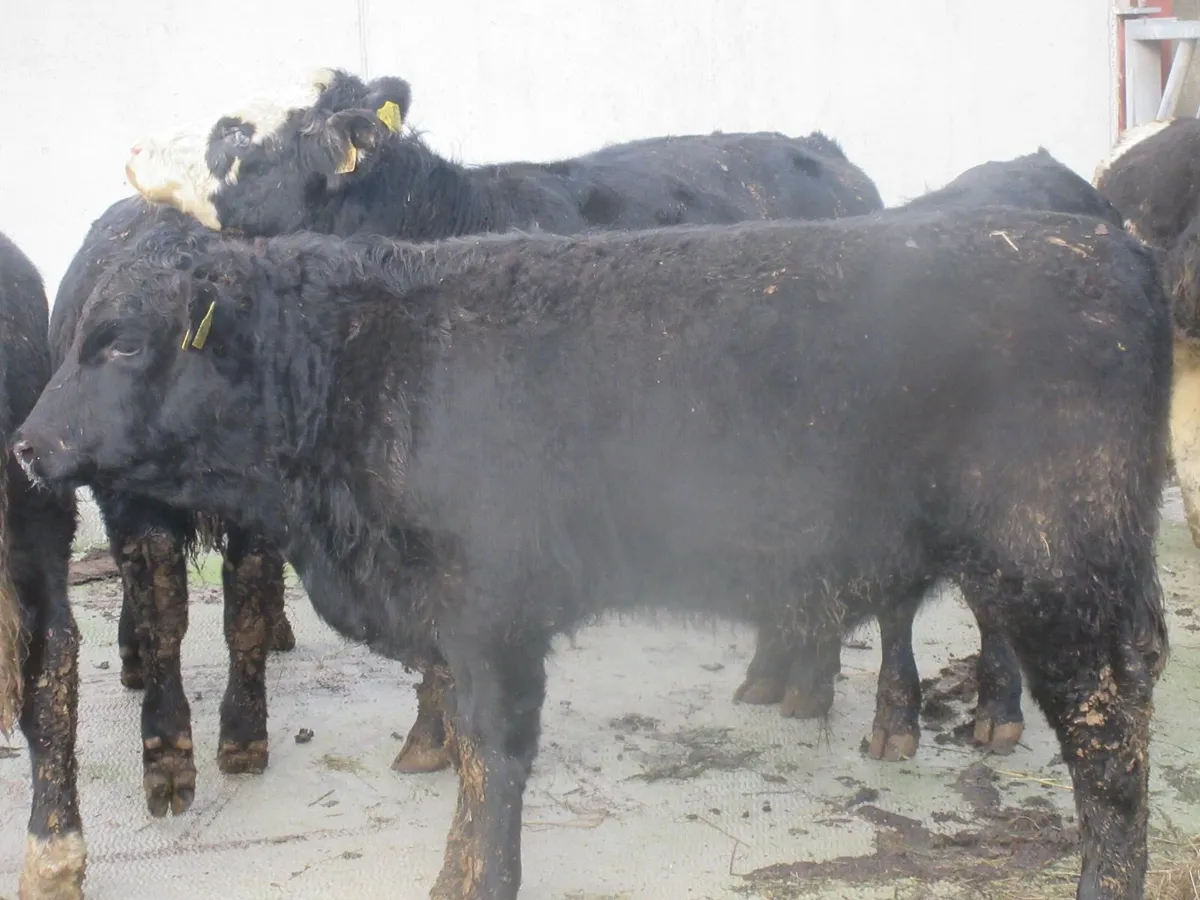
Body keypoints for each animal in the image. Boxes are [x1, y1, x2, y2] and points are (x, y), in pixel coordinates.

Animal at [13, 204, 1172, 900]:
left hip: (1058, 570)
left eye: (121, 341)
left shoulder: (489, 617)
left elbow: (493, 761)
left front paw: (473, 877)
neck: (350, 364)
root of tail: (1104, 245)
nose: (25, 445)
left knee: (1108, 745)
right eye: (77, 335)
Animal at [95, 66, 885, 792]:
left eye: (236, 133)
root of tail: (828, 156)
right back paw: (772, 675)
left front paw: (430, 739)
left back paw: (811, 690)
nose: (130, 147)